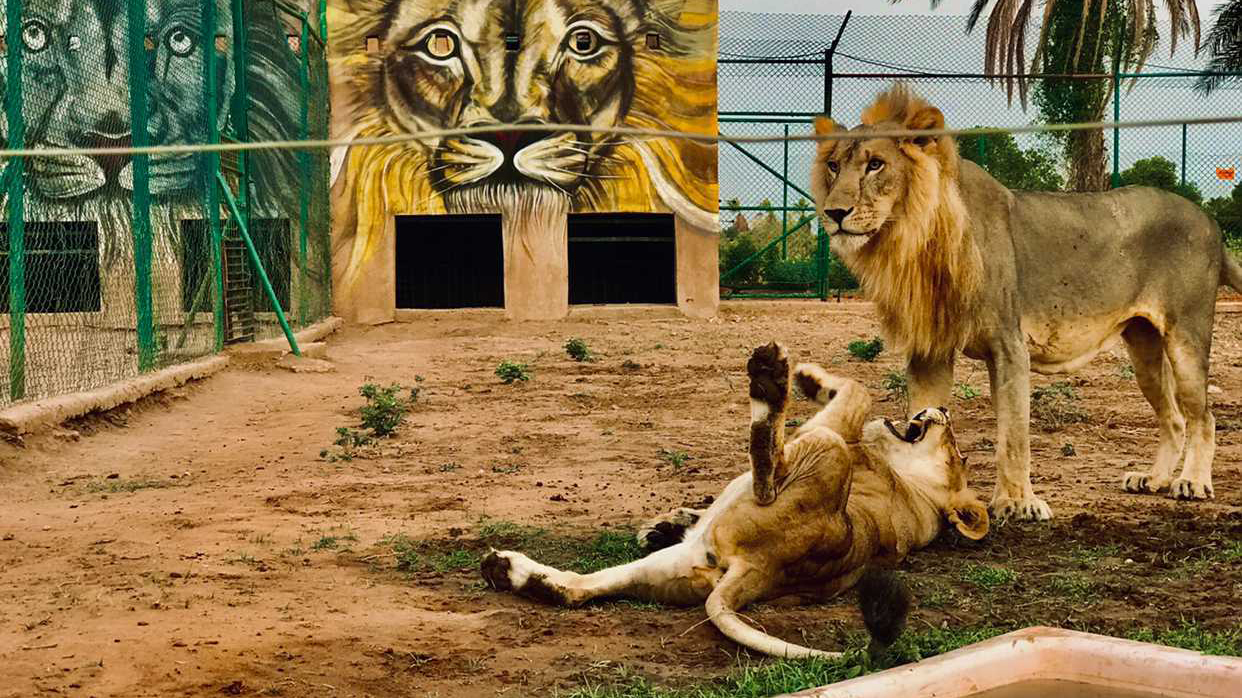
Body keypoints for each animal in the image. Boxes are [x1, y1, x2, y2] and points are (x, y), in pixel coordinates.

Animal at [476, 340, 988, 655]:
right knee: (577, 590)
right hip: (676, 568)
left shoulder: (836, 431)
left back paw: (769, 381)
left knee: (767, 468)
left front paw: (802, 378)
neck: (914, 489)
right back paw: (507, 570)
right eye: (961, 450)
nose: (942, 409)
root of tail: (763, 569)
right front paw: (665, 523)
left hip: (825, 449)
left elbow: (857, 390)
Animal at [814, 84, 1242, 519]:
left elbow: (1013, 434)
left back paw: (1192, 482)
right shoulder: (930, 350)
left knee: (1202, 416)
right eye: (833, 165)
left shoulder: (1009, 344)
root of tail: (1210, 221)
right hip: (1143, 346)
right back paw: (1153, 479)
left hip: (1186, 336)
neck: (911, 237)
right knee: (1173, 418)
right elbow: (921, 420)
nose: (834, 212)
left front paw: (1018, 503)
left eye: (876, 165)